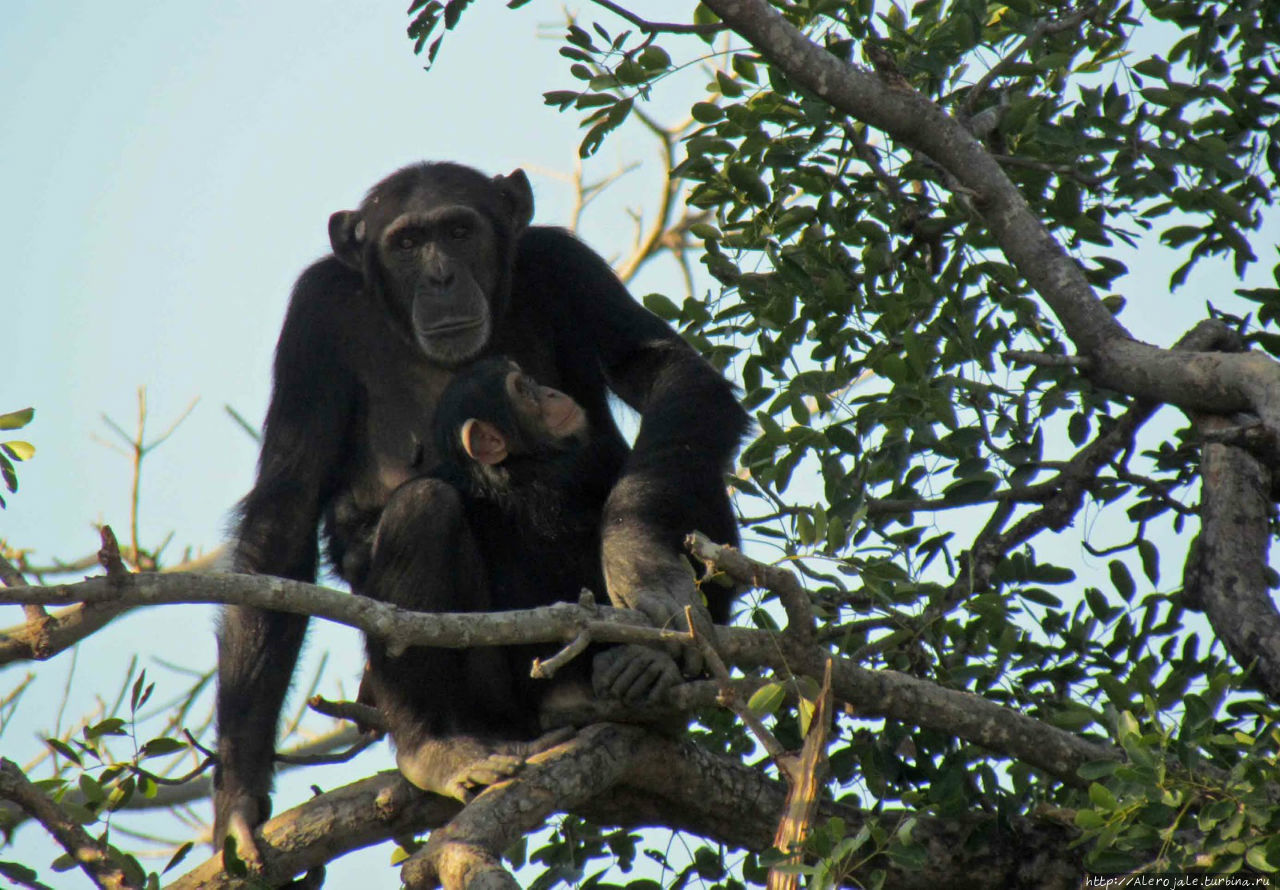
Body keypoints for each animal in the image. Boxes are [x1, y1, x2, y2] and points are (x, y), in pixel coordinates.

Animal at [360, 356, 706, 799]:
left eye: (530, 382)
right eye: (523, 390)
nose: (551, 391)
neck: (522, 470)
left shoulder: (596, 454)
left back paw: (646, 668)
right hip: (496, 707)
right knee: (422, 505)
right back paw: (433, 746)